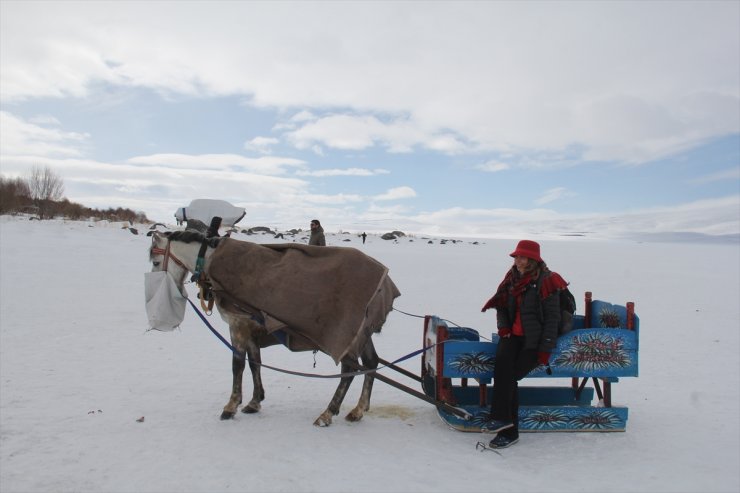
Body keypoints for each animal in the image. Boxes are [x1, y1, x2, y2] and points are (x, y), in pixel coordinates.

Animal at [147, 229, 396, 424]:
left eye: (156, 262)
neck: (211, 259)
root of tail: (383, 283)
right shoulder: (251, 329)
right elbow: (255, 363)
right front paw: (254, 401)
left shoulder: (237, 326)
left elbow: (238, 365)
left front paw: (231, 406)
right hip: (362, 334)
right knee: (370, 363)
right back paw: (358, 410)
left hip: (345, 336)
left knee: (348, 369)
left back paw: (328, 413)